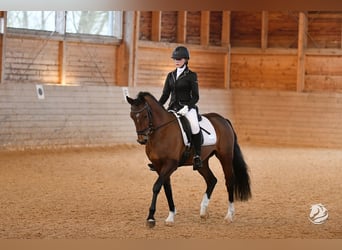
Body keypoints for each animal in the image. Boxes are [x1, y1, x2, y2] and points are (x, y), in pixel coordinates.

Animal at [125, 91, 251, 227]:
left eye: (145, 116)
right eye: (132, 116)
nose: (142, 140)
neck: (161, 132)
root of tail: (223, 119)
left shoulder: (170, 164)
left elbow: (156, 187)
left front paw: (151, 218)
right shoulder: (159, 166)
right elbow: (167, 188)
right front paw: (171, 216)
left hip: (225, 157)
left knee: (229, 181)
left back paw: (229, 215)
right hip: (202, 162)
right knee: (211, 180)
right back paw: (203, 212)